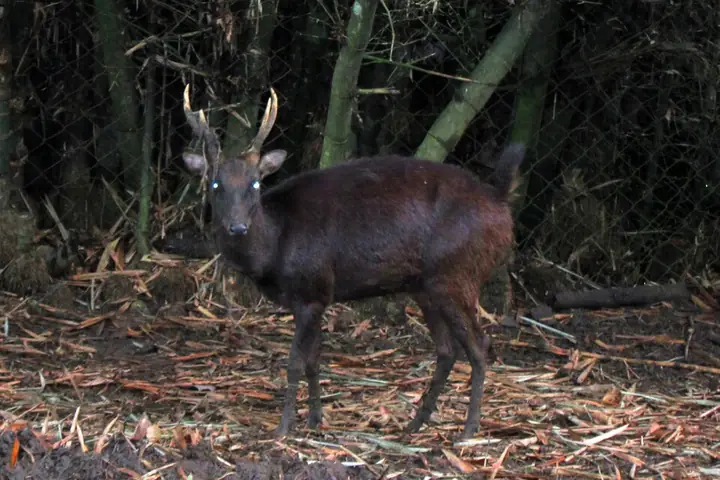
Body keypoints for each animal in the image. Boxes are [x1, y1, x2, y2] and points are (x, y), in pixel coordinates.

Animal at [179, 83, 525, 440]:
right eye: (215, 183)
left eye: (255, 183)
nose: (237, 227)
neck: (274, 247)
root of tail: (500, 202)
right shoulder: (317, 297)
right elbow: (313, 361)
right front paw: (315, 419)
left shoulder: (311, 288)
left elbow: (294, 363)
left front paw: (284, 428)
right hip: (426, 286)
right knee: (447, 350)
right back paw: (415, 423)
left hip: (457, 274)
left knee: (479, 344)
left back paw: (468, 430)